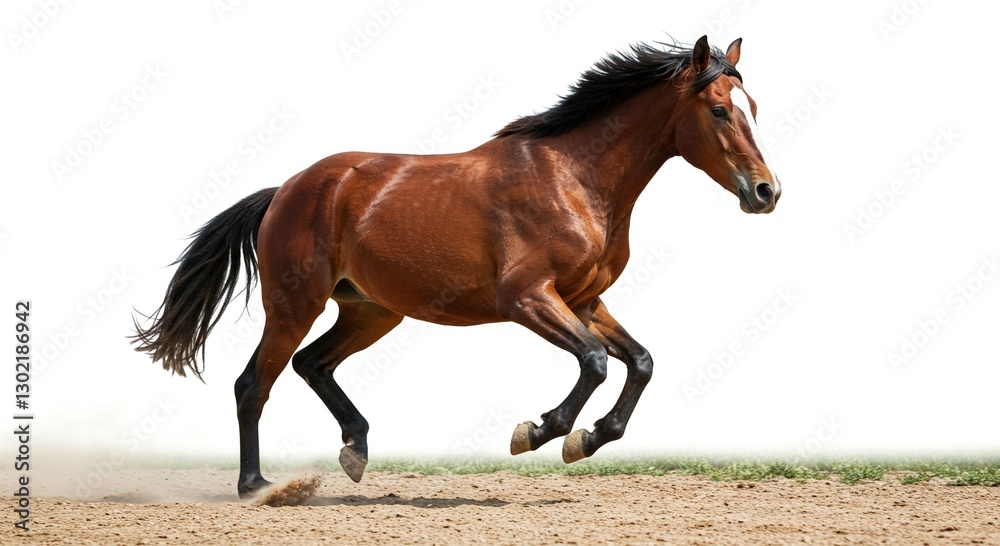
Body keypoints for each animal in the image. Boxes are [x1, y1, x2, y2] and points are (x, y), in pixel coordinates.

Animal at [132, 35, 781, 498]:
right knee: (254, 383)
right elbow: (595, 362)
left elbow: (640, 362)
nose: (766, 192)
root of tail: (287, 189)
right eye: (720, 111)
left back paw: (354, 451)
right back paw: (258, 487)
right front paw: (539, 432)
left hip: (372, 312)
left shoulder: (584, 301)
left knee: (310, 363)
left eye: (752, 107)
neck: (575, 179)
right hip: (296, 304)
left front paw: (588, 439)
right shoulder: (527, 298)